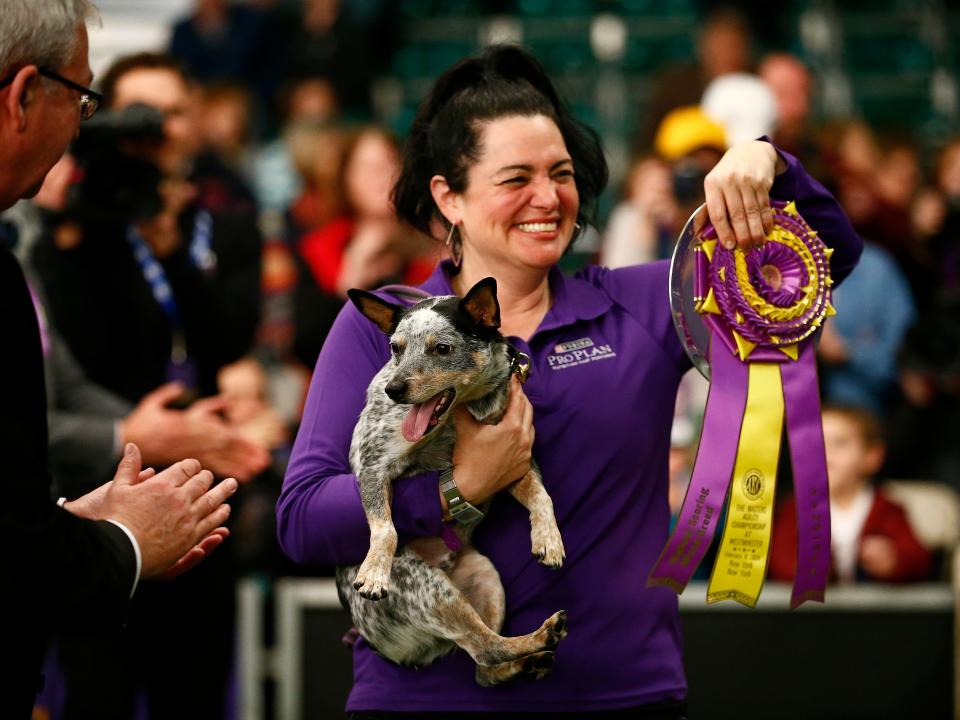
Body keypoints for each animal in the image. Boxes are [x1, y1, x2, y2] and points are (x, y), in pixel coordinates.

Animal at [338, 276, 568, 688]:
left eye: (442, 348)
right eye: (395, 349)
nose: (393, 390)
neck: (461, 415)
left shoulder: (517, 460)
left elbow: (542, 496)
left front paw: (549, 539)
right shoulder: (372, 465)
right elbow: (386, 529)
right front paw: (374, 572)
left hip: (486, 578)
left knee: (485, 665)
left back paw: (532, 657)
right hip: (431, 592)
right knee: (485, 649)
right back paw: (543, 637)